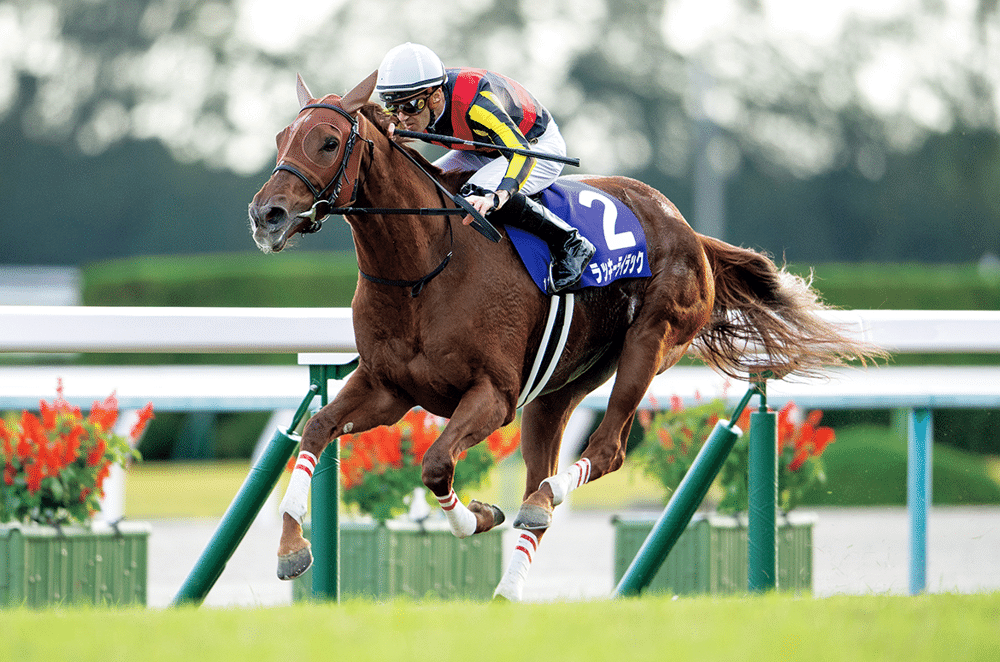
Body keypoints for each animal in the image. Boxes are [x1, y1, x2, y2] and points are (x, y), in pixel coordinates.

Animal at [248, 72, 876, 601]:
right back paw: (508, 588)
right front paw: (291, 549)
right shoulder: (388, 387)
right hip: (557, 389)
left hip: (649, 342)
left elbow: (435, 464)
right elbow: (316, 430)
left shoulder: (493, 396)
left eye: (329, 141)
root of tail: (690, 231)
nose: (267, 214)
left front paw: (479, 516)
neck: (424, 267)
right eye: (281, 136)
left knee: (603, 451)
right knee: (545, 471)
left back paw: (542, 502)